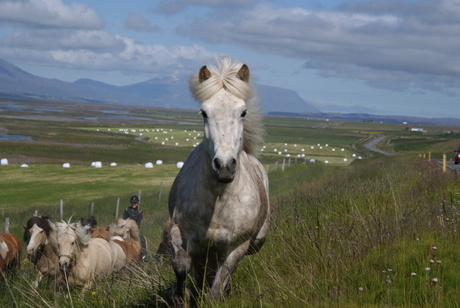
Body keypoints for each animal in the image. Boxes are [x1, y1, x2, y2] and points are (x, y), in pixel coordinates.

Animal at [168, 56, 270, 304]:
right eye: (204, 112)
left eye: (243, 112)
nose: (224, 166)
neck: (218, 197)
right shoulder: (181, 232)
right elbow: (181, 264)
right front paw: (179, 296)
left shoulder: (237, 246)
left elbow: (218, 285)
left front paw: (212, 295)